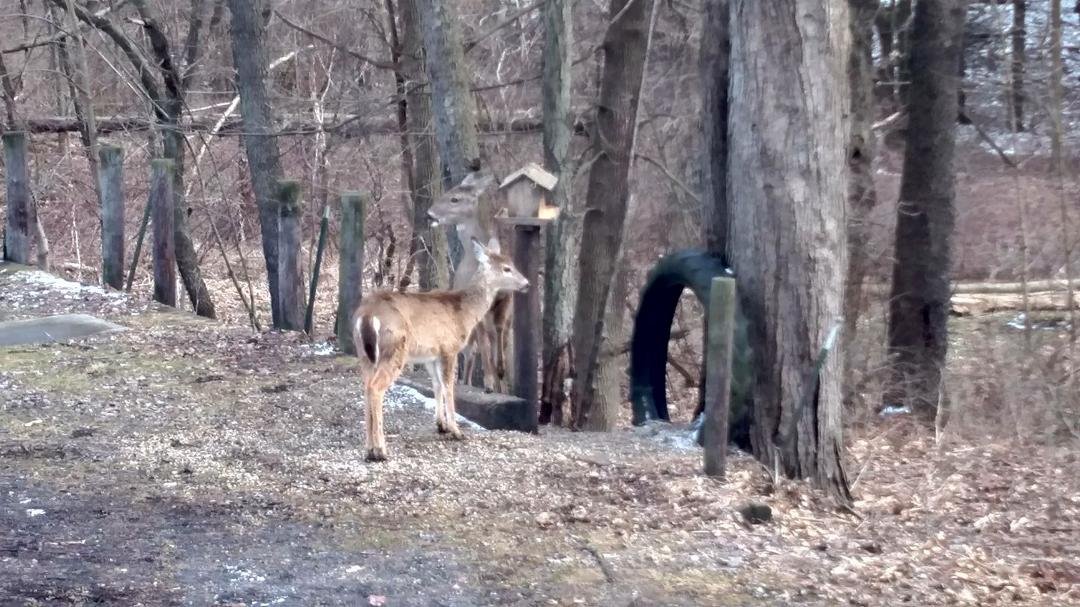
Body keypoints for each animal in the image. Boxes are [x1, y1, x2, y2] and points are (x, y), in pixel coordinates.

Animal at [353, 238, 528, 461]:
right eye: (507, 268)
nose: (526, 283)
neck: (464, 311)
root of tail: (367, 315)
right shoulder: (449, 347)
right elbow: (449, 386)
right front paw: (456, 430)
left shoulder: (431, 355)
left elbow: (437, 385)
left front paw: (441, 425)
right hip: (394, 349)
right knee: (376, 387)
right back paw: (380, 450)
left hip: (364, 353)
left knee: (366, 386)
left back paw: (369, 449)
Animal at [426, 170, 513, 393]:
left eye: (454, 198)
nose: (429, 214)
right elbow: (486, 345)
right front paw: (491, 381)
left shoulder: (505, 304)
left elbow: (499, 339)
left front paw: (500, 378)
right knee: (471, 350)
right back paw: (468, 382)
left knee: (480, 346)